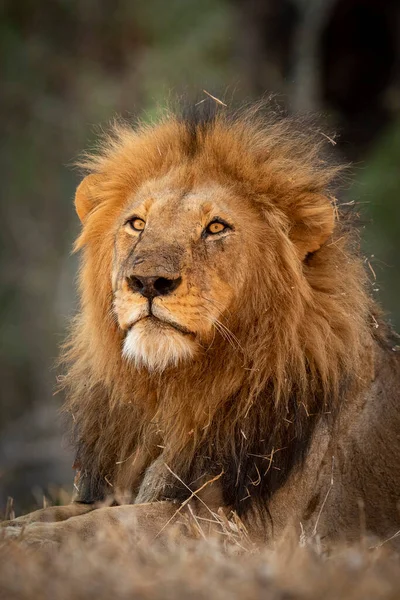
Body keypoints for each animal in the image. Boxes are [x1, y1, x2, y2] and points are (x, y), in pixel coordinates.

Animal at [3, 101, 400, 548]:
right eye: (137, 223)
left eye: (215, 228)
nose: (148, 281)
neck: (175, 391)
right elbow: (65, 512)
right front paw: (18, 529)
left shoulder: (258, 530)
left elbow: (118, 522)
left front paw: (25, 542)